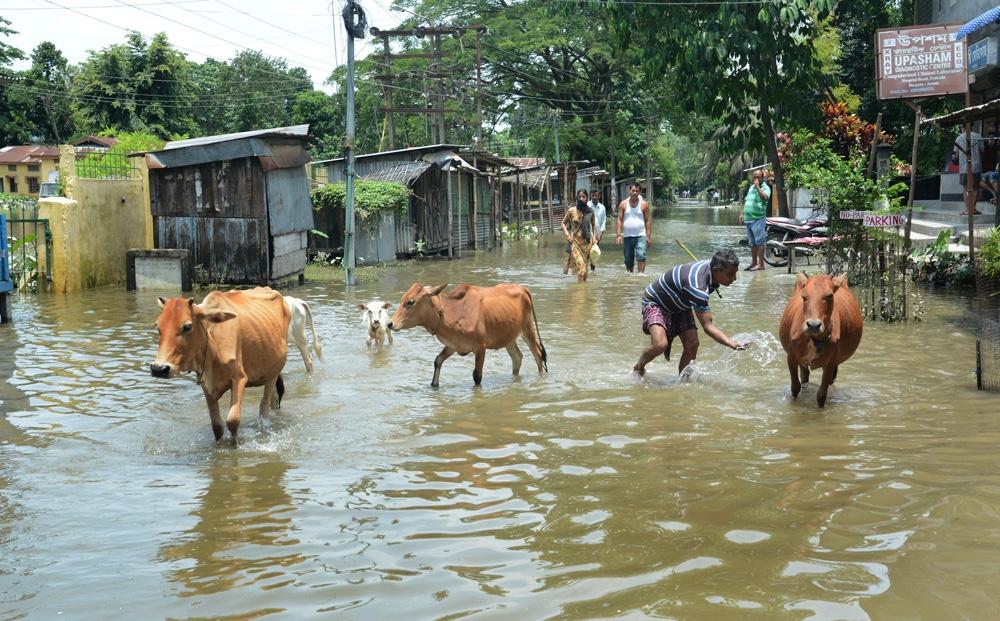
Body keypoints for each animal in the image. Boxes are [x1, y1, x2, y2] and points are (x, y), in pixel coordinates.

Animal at [148, 286, 292, 440]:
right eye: (157, 326)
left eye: (187, 327)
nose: (158, 368)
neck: (212, 341)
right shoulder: (207, 385)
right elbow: (217, 426)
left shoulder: (239, 378)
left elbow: (233, 420)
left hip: (273, 374)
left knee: (264, 407)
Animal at [388, 282, 548, 388]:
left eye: (411, 302)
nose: (390, 323)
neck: (452, 312)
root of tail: (522, 288)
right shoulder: (452, 345)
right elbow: (438, 361)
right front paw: (434, 385)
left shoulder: (480, 348)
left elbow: (477, 376)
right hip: (509, 336)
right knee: (517, 357)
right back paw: (514, 379)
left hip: (527, 329)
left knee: (538, 354)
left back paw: (541, 378)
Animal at [776, 272, 864, 406]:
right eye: (804, 296)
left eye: (829, 296)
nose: (813, 325)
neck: (815, 339)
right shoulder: (791, 357)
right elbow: (795, 388)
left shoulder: (831, 363)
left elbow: (821, 395)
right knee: (805, 376)